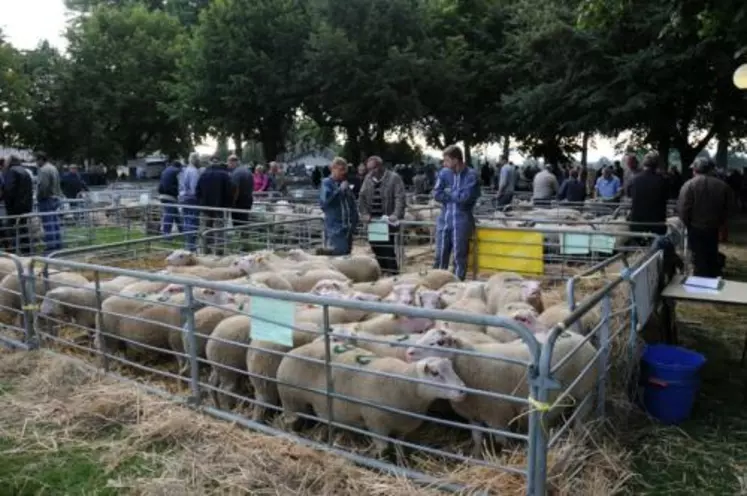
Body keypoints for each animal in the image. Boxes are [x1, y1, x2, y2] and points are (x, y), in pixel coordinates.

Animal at [274, 340, 464, 460]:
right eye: (435, 373)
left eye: (452, 369)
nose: (463, 390)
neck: (405, 384)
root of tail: (291, 352)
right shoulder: (376, 422)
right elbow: (382, 448)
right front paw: (377, 460)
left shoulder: (402, 427)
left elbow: (399, 447)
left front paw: (402, 463)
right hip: (291, 399)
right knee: (287, 420)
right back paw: (291, 437)